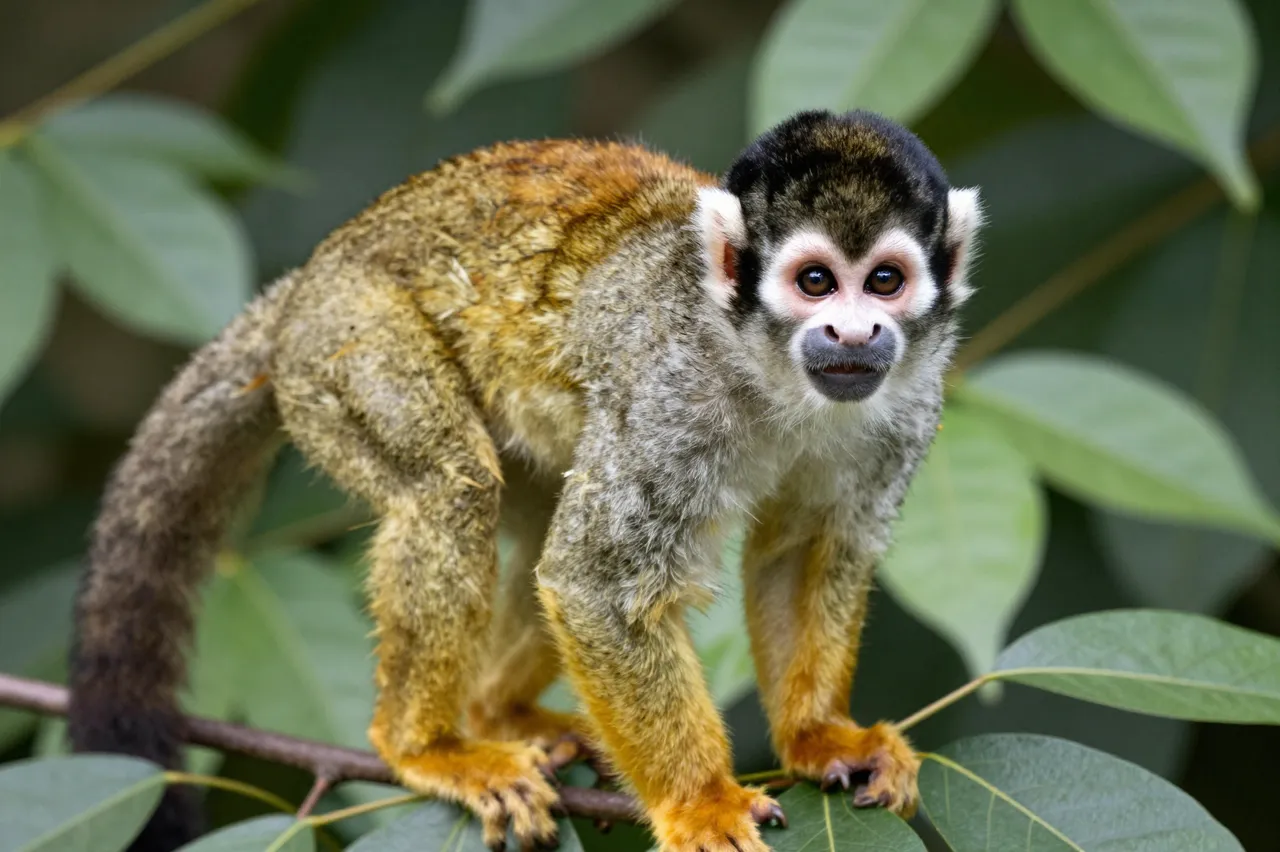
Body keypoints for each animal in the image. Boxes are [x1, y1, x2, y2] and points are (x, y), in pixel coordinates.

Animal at [67, 109, 982, 852]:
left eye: (886, 281)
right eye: (816, 281)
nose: (853, 333)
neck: (773, 377)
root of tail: (307, 283)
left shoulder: (910, 407)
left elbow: (801, 552)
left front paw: (819, 737)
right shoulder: (671, 397)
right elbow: (596, 586)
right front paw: (698, 804)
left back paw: (495, 713)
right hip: (347, 343)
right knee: (452, 487)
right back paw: (424, 745)